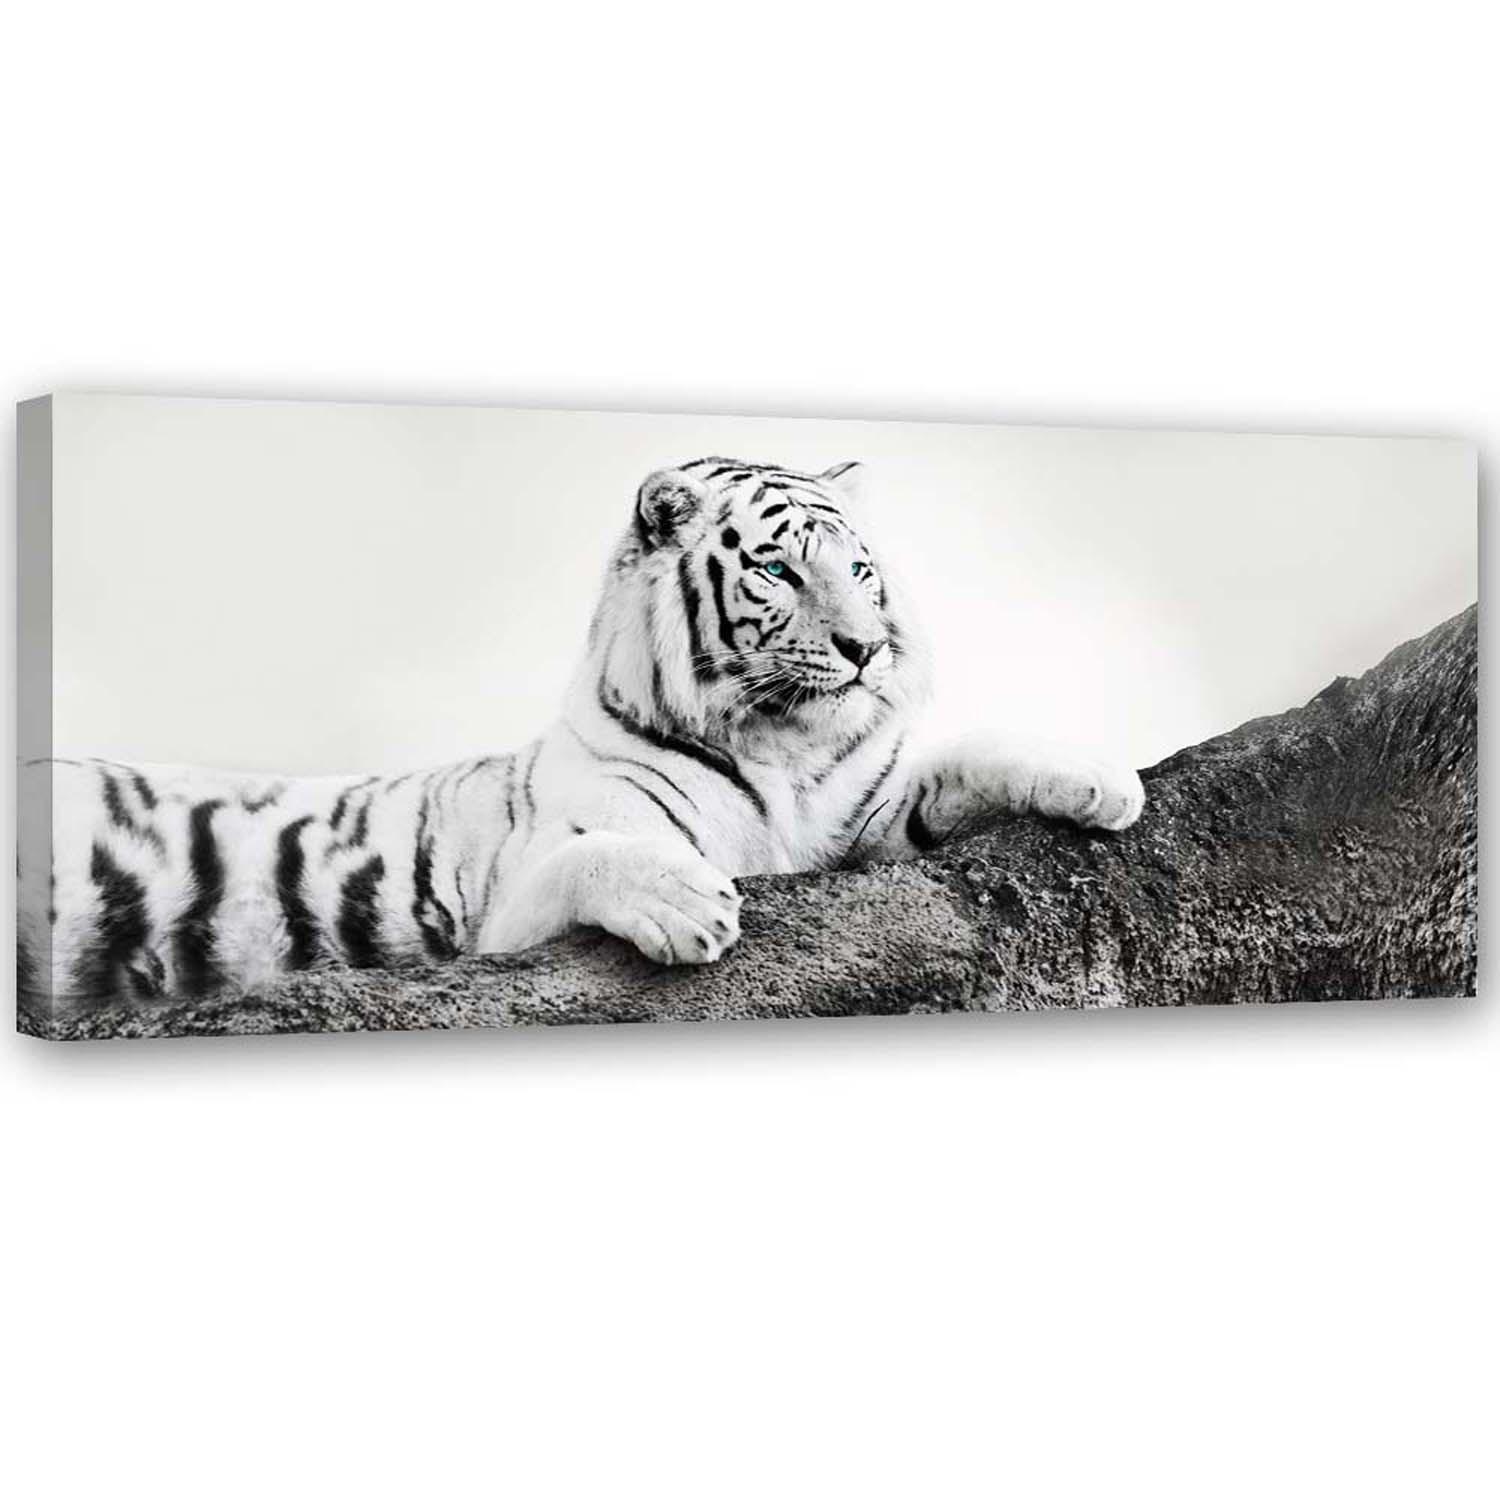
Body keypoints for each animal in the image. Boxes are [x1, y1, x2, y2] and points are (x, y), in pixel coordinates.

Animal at [17, 457, 1144, 1014]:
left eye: (861, 571)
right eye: (780, 570)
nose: (867, 649)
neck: (781, 747)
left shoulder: (869, 818)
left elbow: (969, 756)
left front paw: (1105, 780)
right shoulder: (513, 905)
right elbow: (597, 857)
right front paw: (691, 905)